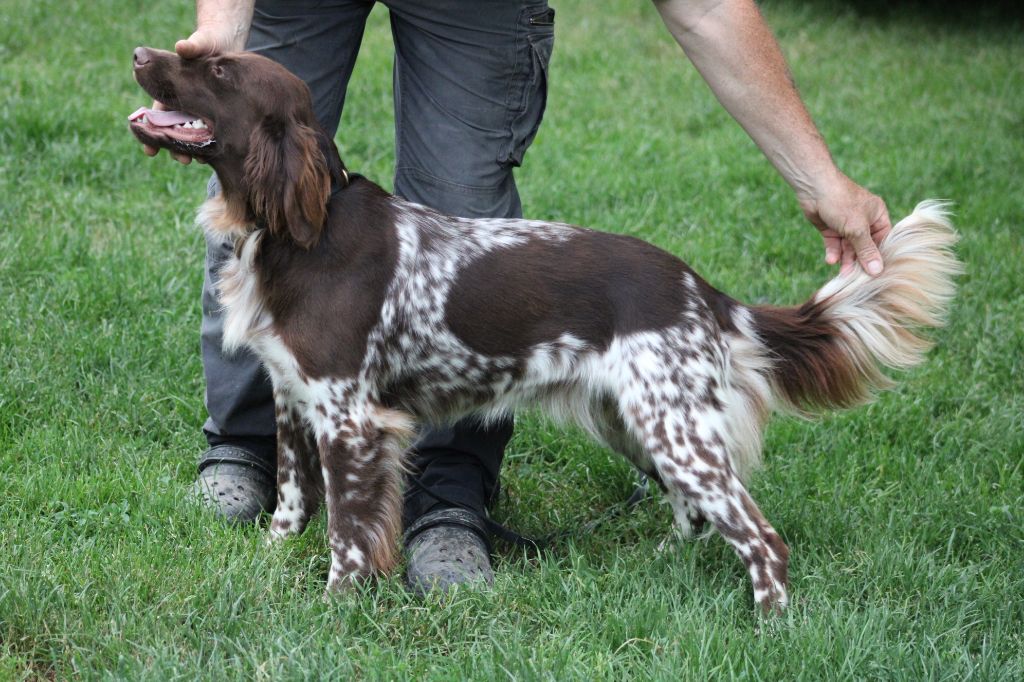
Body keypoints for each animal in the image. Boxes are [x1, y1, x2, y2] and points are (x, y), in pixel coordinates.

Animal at [130, 47, 958, 610]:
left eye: (218, 69)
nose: (140, 54)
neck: (304, 228)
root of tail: (701, 290)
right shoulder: (295, 399)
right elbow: (295, 504)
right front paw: (270, 568)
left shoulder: (352, 419)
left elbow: (349, 532)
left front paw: (338, 606)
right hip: (637, 421)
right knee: (695, 515)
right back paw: (662, 565)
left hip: (674, 431)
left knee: (762, 537)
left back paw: (770, 624)